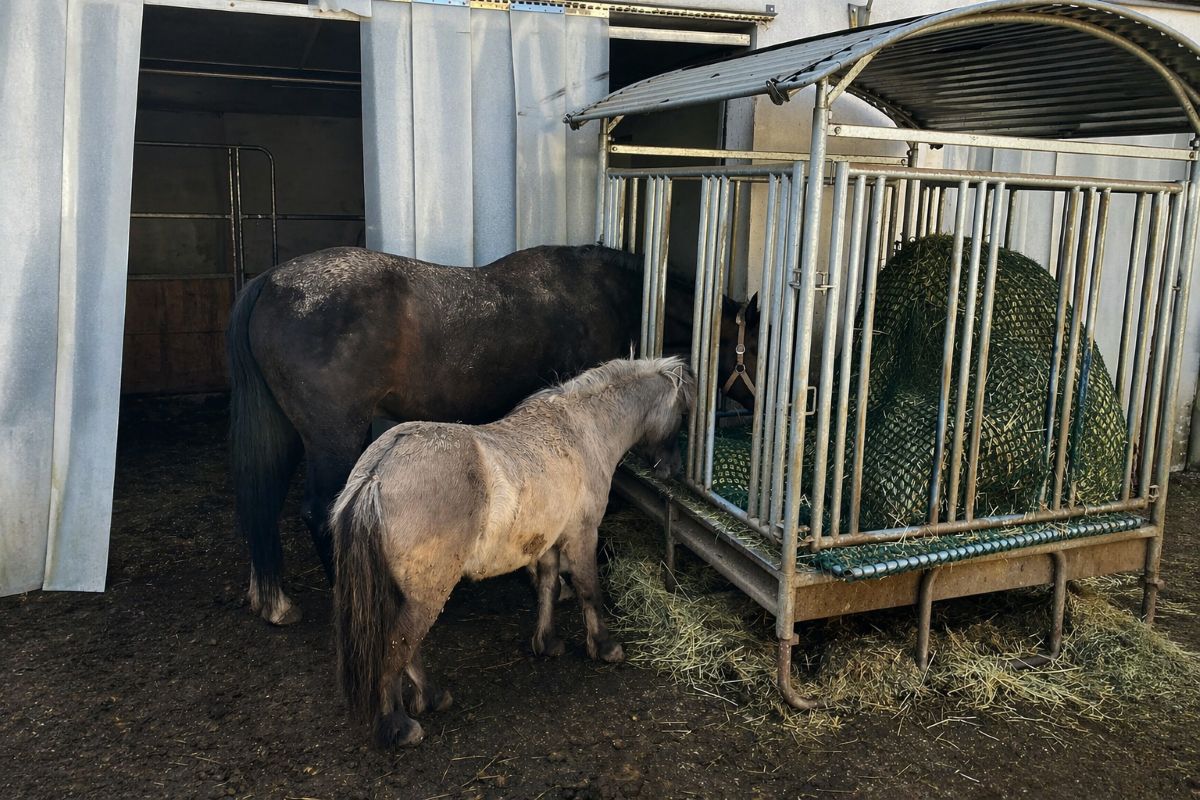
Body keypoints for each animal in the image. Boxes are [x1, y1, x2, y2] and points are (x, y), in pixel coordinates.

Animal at [227, 244, 759, 626]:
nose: (761, 414)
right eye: (756, 347)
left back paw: (273, 601)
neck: (603, 293)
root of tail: (270, 282)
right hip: (335, 435)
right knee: (320, 511)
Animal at [331, 356, 696, 747]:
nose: (673, 468)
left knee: (406, 647)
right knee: (398, 645)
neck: (583, 431)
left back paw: (432, 697)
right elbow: (589, 591)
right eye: (682, 414)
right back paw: (400, 725)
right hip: (427, 593)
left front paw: (547, 642)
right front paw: (605, 647)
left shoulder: (548, 541)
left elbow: (549, 587)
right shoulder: (582, 536)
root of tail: (376, 475)